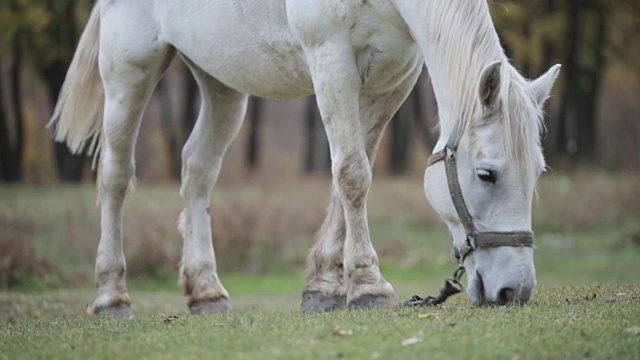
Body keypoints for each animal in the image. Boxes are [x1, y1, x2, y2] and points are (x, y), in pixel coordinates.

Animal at [51, 0, 560, 316]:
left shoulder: (393, 81)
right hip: (129, 72)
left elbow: (351, 173)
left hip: (220, 82)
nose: (515, 290)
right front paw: (368, 286)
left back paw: (206, 292)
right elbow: (353, 174)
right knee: (116, 178)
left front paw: (325, 286)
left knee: (197, 172)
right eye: (487, 174)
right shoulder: (331, 62)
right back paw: (112, 298)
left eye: (537, 174)